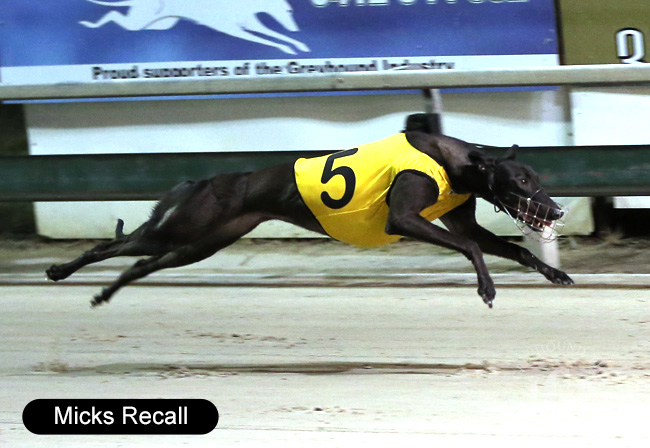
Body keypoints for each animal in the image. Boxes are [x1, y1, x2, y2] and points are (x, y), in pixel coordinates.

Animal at [46, 114, 574, 308]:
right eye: (523, 180)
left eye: (538, 178)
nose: (556, 211)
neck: (454, 161)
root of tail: (204, 180)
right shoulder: (404, 217)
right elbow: (468, 245)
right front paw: (486, 288)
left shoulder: (458, 213)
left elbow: (505, 247)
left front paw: (555, 273)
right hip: (186, 228)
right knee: (115, 245)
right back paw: (60, 271)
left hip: (201, 243)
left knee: (141, 262)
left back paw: (105, 293)